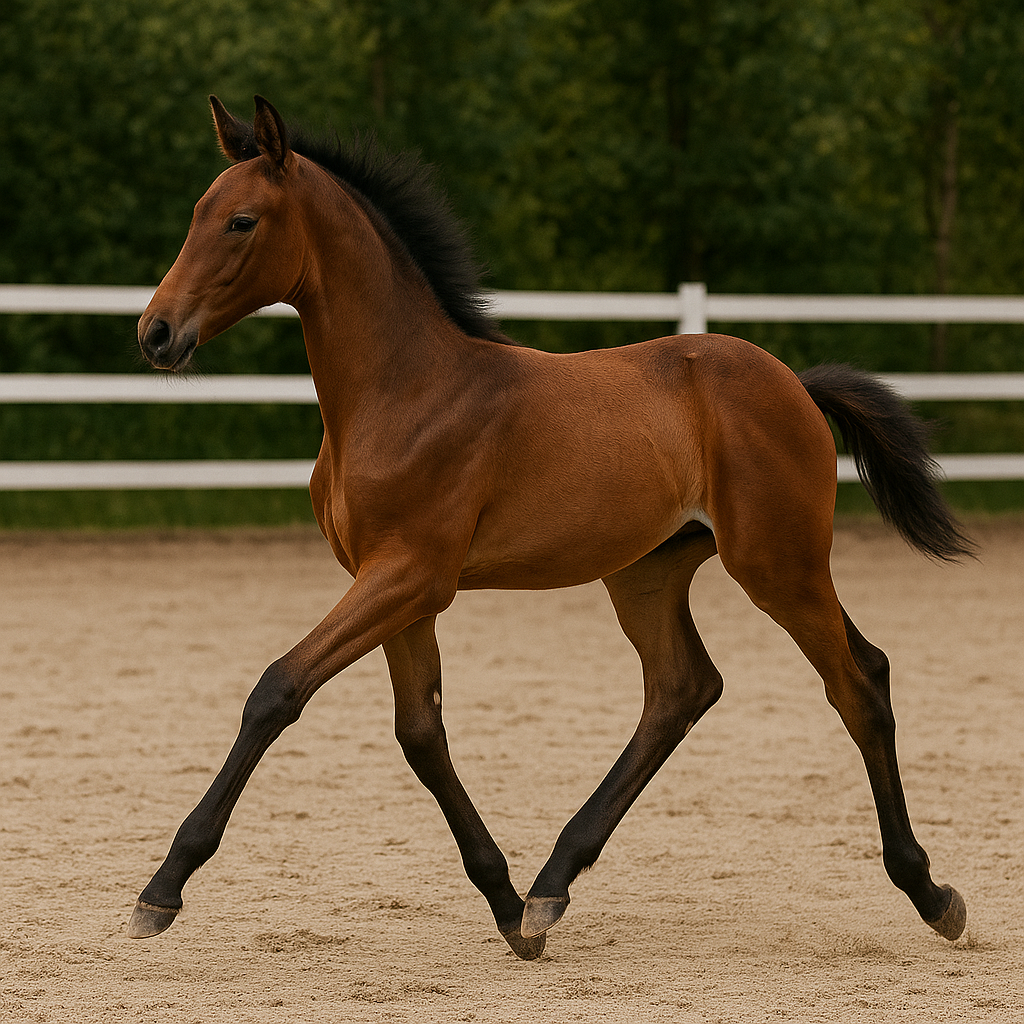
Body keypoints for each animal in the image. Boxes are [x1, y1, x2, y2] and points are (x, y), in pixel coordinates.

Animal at [131, 95, 972, 959]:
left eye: (240, 222)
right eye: (196, 213)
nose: (156, 332)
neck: (404, 389)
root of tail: (796, 385)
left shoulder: (408, 574)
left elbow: (277, 690)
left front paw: (162, 889)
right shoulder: (400, 586)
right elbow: (420, 734)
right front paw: (504, 903)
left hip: (780, 564)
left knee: (857, 681)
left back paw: (931, 893)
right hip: (648, 572)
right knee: (682, 688)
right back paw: (550, 887)